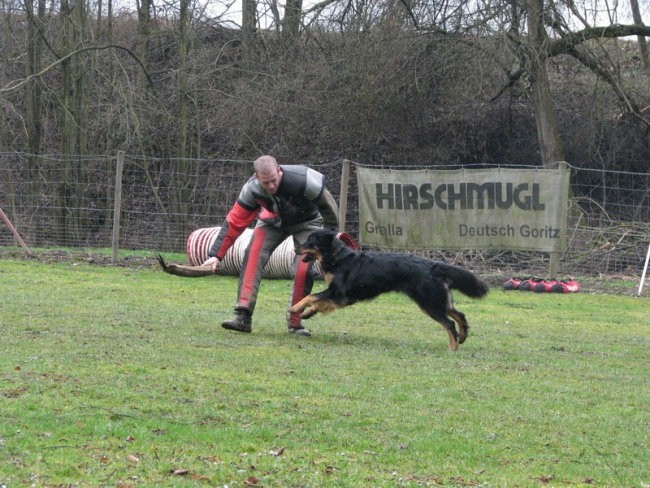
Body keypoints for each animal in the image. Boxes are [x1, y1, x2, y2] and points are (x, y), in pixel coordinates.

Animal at [288, 230, 486, 350]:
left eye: (310, 241)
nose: (295, 249)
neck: (337, 257)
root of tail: (433, 266)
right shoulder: (341, 297)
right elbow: (321, 303)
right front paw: (307, 313)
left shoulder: (340, 294)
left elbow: (313, 297)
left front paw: (296, 308)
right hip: (437, 301)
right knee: (460, 315)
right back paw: (462, 337)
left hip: (429, 304)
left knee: (450, 323)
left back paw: (453, 348)